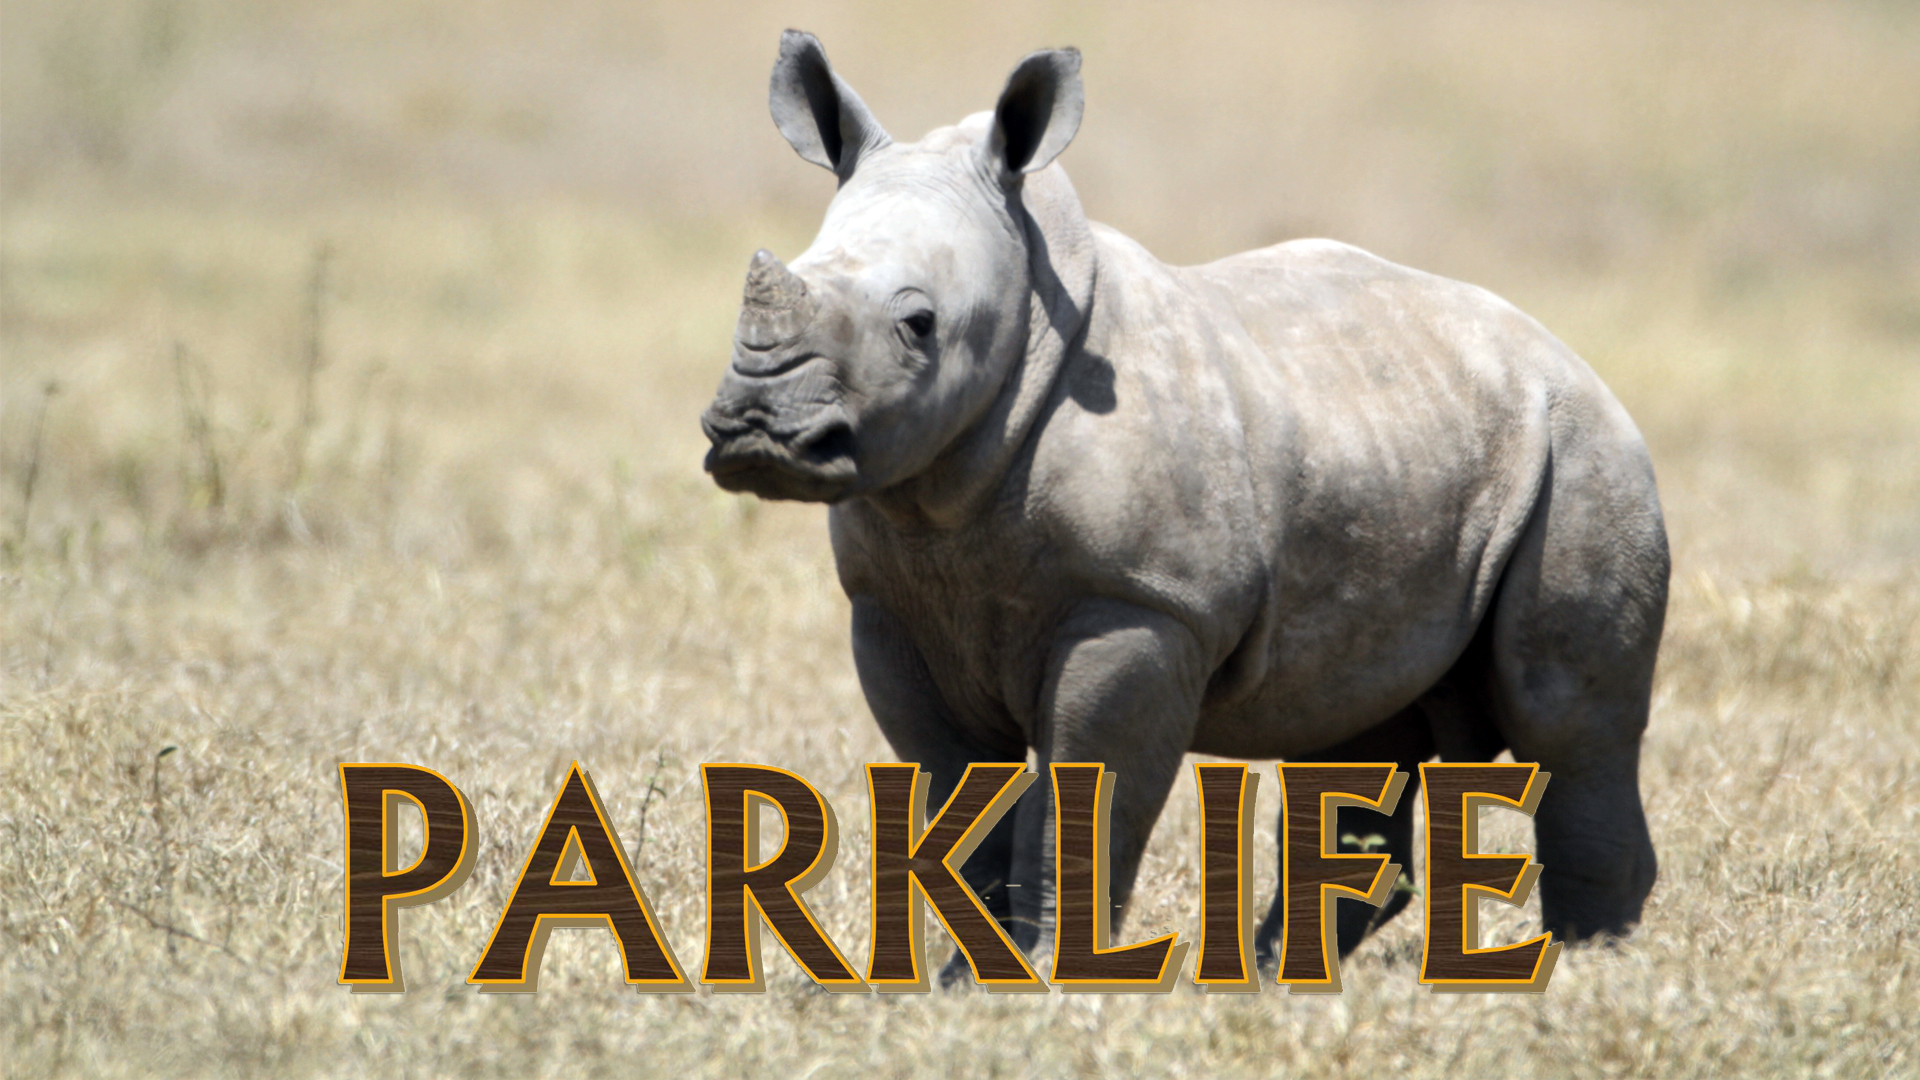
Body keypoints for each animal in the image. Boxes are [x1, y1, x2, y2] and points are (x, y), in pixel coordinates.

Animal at [702, 31, 1668, 982]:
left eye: (918, 324)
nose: (755, 427)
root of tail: (1566, 355)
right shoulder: (891, 607)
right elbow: (953, 787)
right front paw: (964, 981)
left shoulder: (1145, 602)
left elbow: (1088, 786)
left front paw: (1048, 976)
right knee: (1355, 724)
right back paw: (1276, 976)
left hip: (1582, 451)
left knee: (1565, 719)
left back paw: (1585, 968)